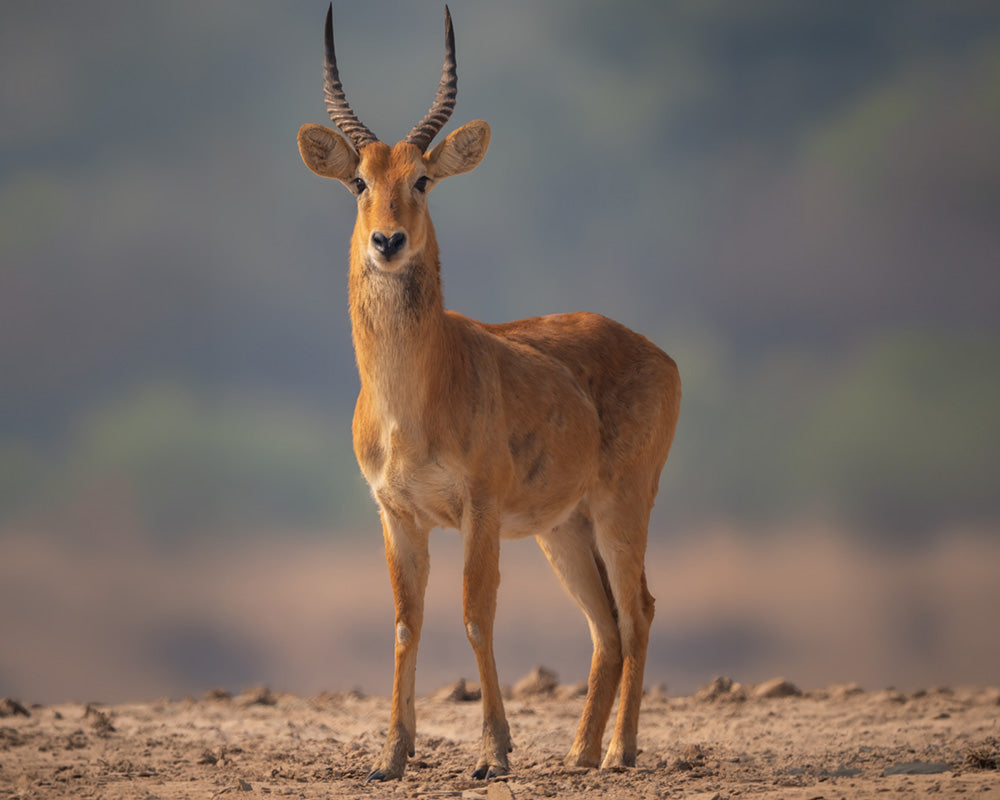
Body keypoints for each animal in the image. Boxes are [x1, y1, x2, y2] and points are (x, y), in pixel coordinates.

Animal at [297, 4, 681, 782]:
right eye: (359, 180)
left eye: (422, 179)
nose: (388, 241)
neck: (412, 404)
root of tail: (660, 355)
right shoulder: (396, 514)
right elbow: (406, 623)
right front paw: (390, 758)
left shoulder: (479, 509)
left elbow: (477, 616)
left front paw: (494, 755)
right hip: (564, 529)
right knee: (606, 626)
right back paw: (579, 752)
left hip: (621, 507)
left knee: (640, 610)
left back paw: (618, 753)